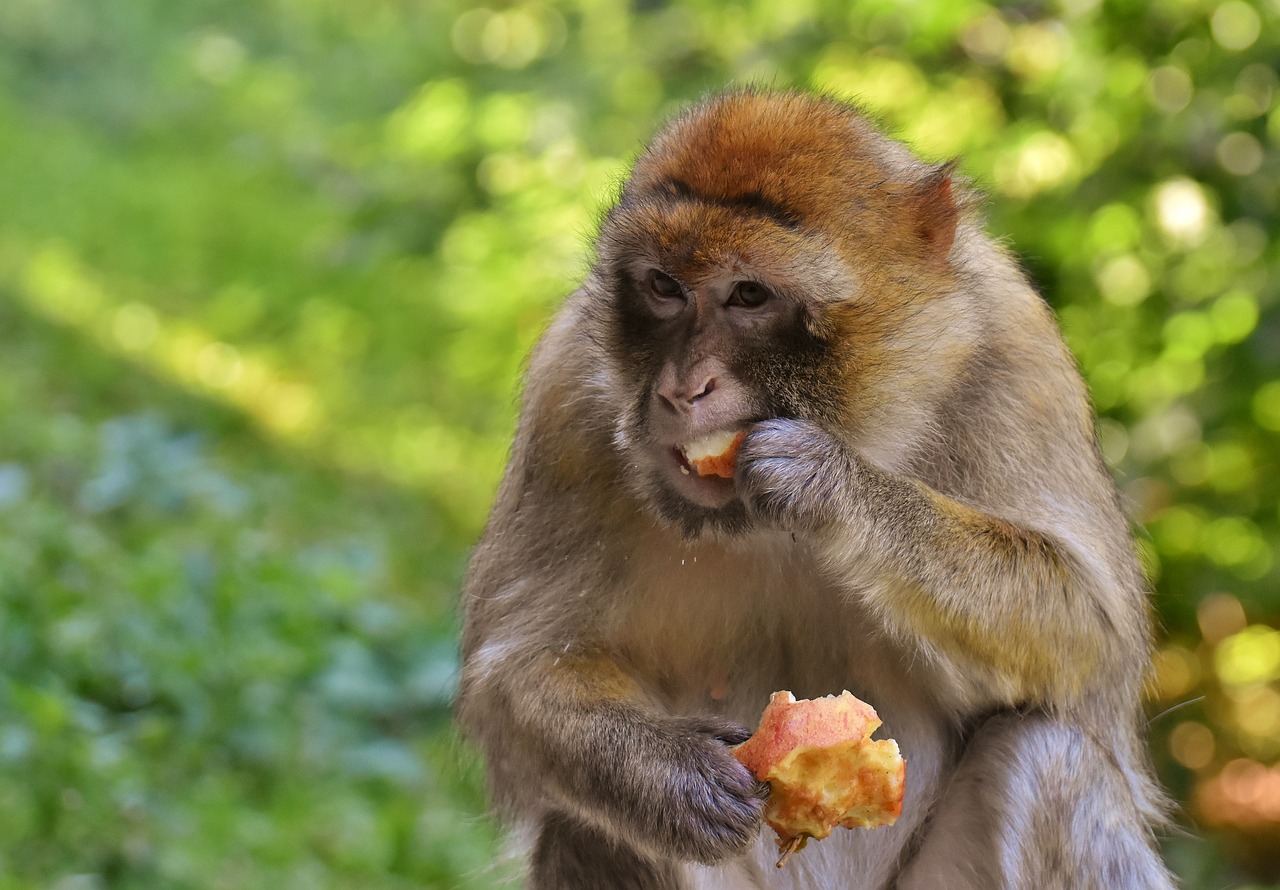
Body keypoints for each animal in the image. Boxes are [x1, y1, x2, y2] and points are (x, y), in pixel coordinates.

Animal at [455, 90, 1172, 890]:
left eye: (749, 294)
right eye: (664, 287)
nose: (681, 389)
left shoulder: (1017, 356)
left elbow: (1091, 634)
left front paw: (833, 489)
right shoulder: (565, 400)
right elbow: (516, 668)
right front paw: (669, 776)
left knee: (1046, 756)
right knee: (585, 825)